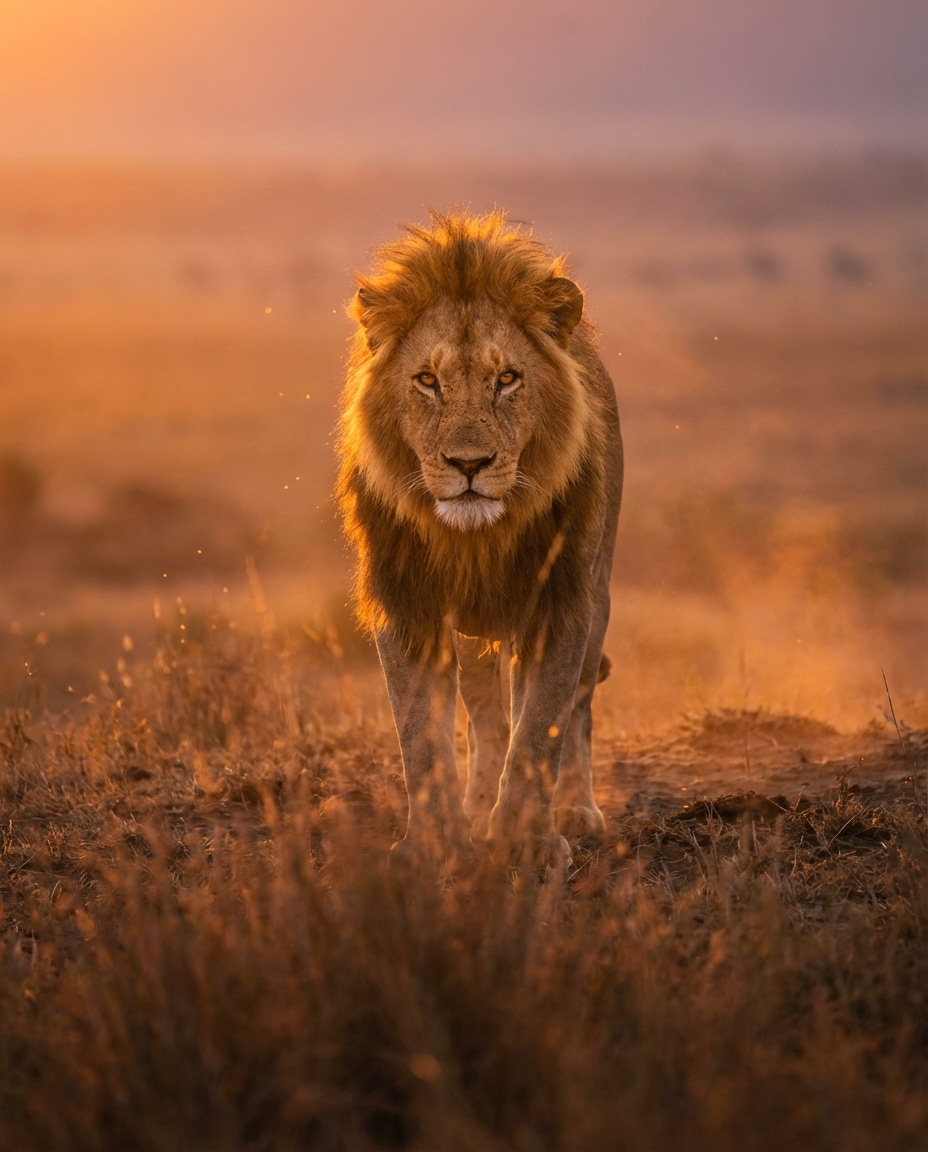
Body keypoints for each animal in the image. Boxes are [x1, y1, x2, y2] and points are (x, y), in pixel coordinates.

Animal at [336, 211, 623, 868]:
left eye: (507, 379)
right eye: (427, 381)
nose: (469, 464)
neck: (474, 541)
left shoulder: (561, 604)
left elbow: (541, 728)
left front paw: (527, 840)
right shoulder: (409, 606)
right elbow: (421, 736)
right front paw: (433, 841)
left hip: (598, 596)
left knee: (578, 708)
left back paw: (575, 808)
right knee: (487, 716)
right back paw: (476, 805)